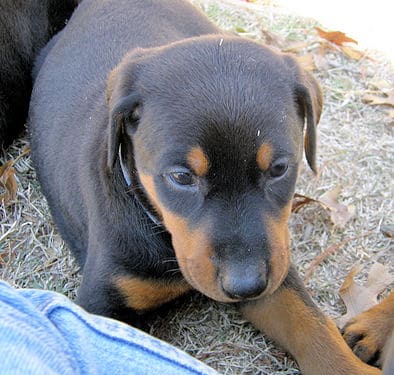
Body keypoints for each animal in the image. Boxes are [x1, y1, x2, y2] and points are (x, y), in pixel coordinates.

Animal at [30, 0, 382, 375]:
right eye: (182, 177)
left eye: (279, 169)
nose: (246, 285)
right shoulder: (102, 301)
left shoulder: (276, 261)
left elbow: (310, 321)